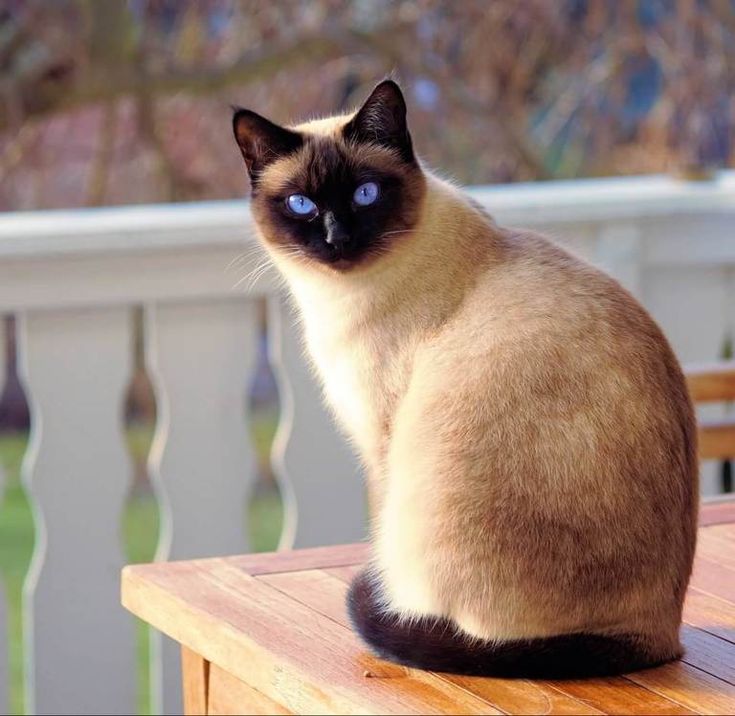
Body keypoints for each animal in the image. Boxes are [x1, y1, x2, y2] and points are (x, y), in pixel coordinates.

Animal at [233, 79, 700, 676]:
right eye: (302, 205)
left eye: (365, 194)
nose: (337, 239)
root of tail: (661, 638)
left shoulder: (381, 441)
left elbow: (379, 534)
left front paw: (385, 593)